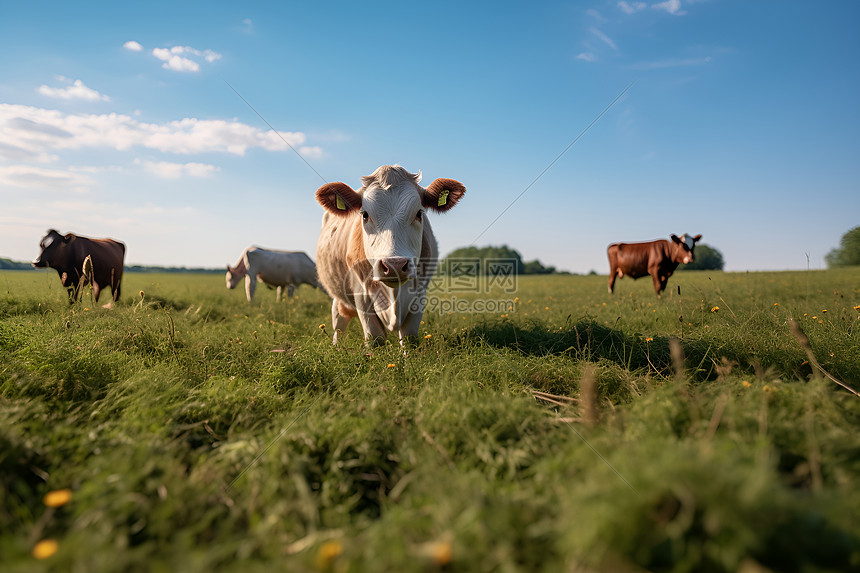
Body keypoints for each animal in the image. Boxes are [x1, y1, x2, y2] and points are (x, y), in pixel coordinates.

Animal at [314, 163, 464, 346]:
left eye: (419, 213)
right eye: (365, 215)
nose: (394, 265)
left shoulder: (419, 294)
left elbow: (409, 338)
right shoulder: (362, 295)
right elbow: (375, 338)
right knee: (339, 323)